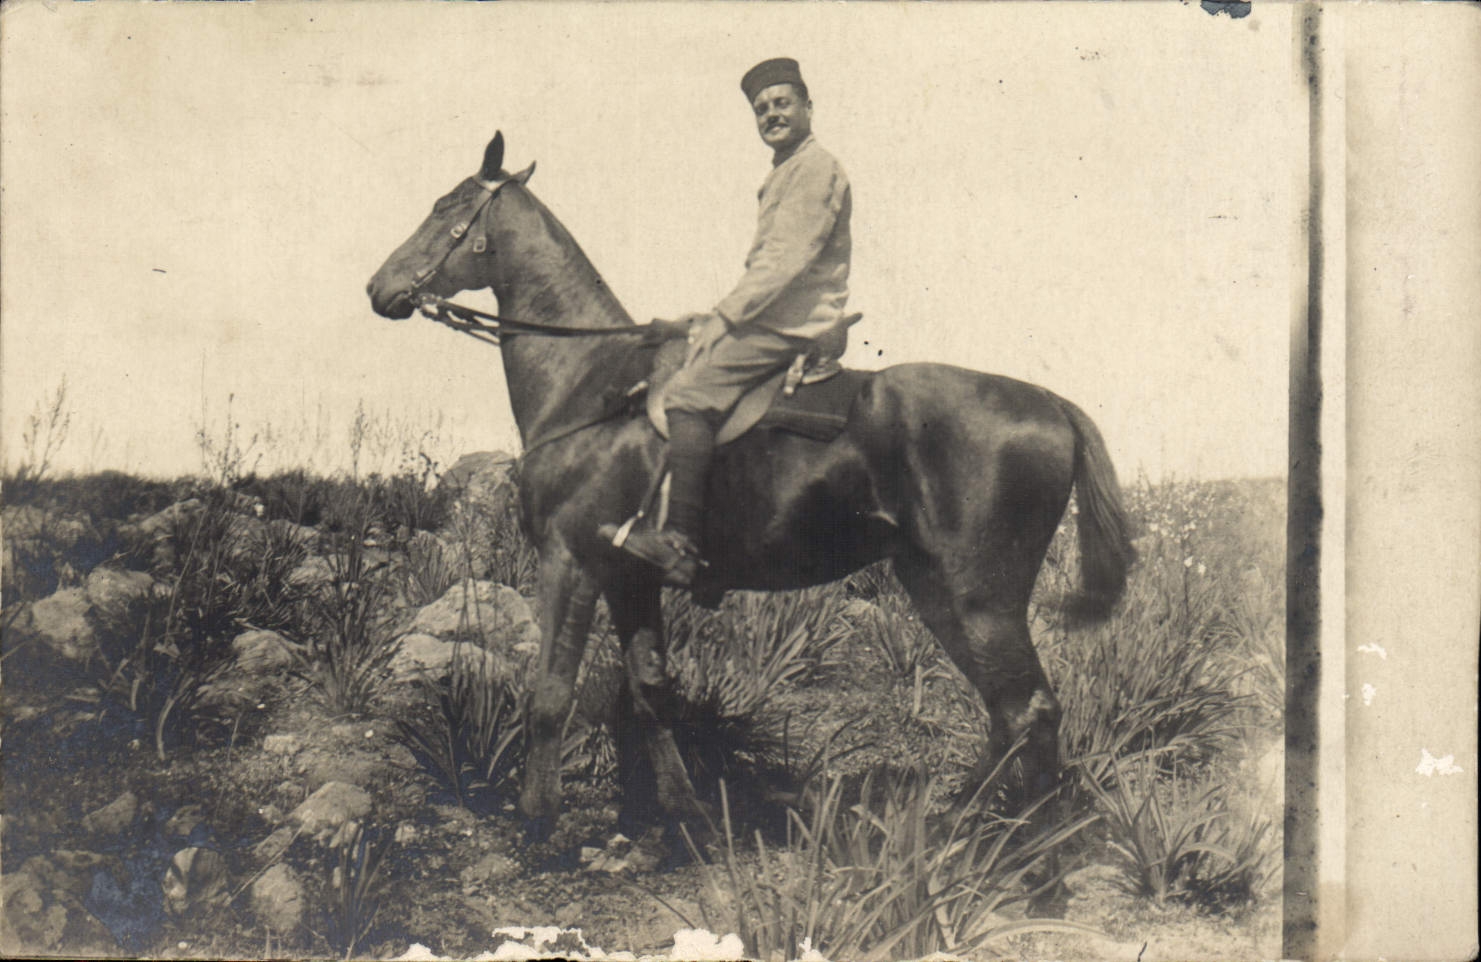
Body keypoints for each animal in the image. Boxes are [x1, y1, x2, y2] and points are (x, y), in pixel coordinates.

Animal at [367, 132, 1134, 842]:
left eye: (446, 208)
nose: (379, 288)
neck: (590, 382)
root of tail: (1049, 403)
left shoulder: (570, 562)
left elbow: (550, 696)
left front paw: (537, 824)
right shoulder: (627, 579)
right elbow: (650, 694)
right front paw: (686, 818)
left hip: (982, 598)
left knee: (1030, 709)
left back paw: (1019, 844)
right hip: (935, 589)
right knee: (1010, 714)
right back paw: (950, 825)